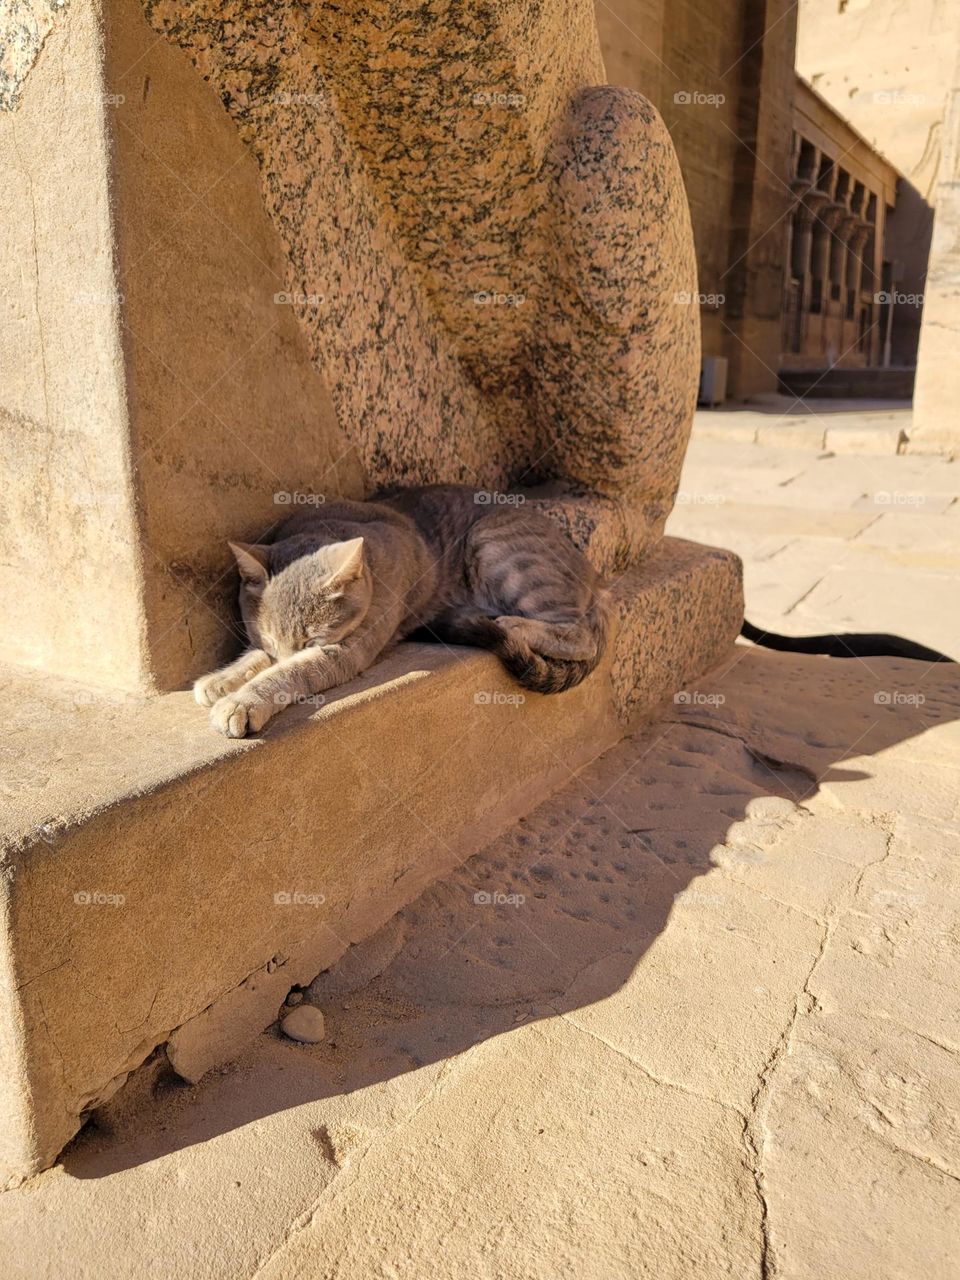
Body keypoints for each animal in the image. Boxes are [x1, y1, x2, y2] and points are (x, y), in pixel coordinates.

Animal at [195, 481, 609, 742]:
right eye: (267, 637)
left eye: (312, 640)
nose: (281, 651)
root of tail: (595, 576)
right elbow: (256, 658)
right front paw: (222, 679)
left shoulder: (347, 649)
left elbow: (290, 673)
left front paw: (242, 701)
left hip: (499, 547)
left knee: (579, 635)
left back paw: (511, 623)